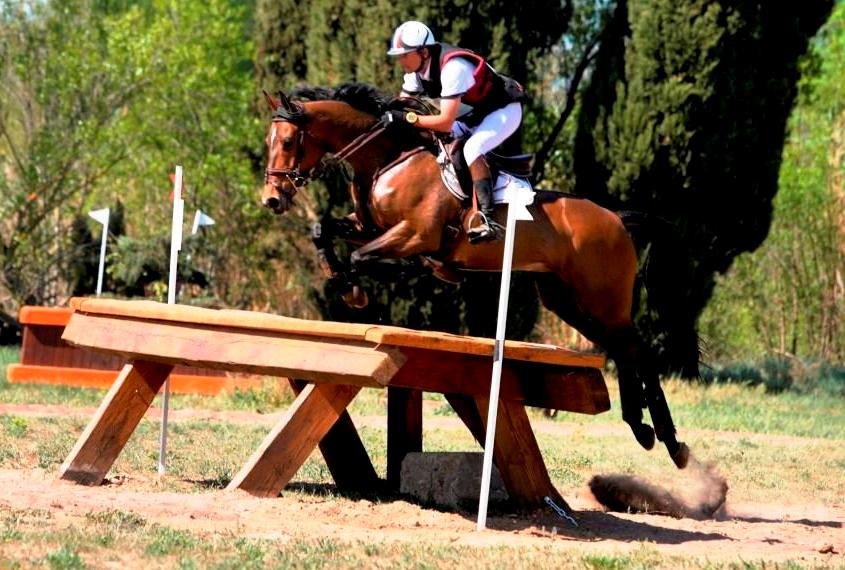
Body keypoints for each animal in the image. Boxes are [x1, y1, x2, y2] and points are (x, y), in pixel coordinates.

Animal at [260, 83, 688, 466]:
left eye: (287, 141)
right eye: (269, 140)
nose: (271, 199)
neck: (387, 159)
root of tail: (614, 217)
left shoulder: (412, 235)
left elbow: (362, 258)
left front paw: (359, 289)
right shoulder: (369, 226)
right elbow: (323, 230)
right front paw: (341, 276)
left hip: (603, 299)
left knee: (638, 351)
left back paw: (671, 442)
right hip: (568, 301)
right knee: (623, 350)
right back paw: (643, 430)